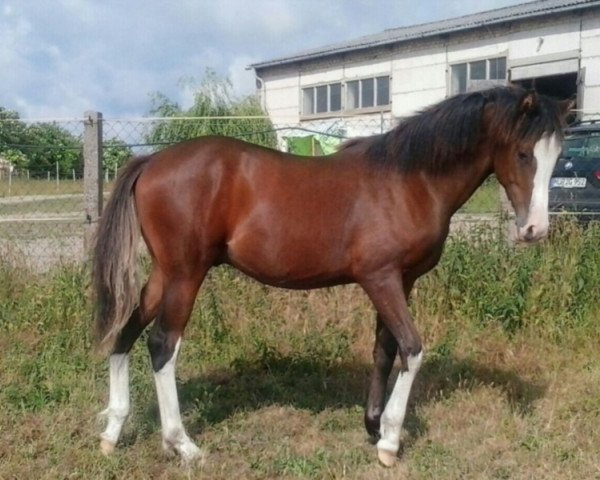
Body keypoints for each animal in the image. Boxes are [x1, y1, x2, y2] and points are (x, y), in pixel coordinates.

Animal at [92, 86, 572, 464]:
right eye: (524, 153)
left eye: (558, 156)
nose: (535, 230)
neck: (409, 180)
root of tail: (152, 161)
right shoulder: (380, 278)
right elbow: (413, 349)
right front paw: (390, 442)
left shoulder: (402, 280)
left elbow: (385, 350)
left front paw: (373, 426)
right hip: (185, 275)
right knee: (161, 346)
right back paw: (182, 444)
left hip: (163, 275)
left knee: (125, 333)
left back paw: (113, 432)